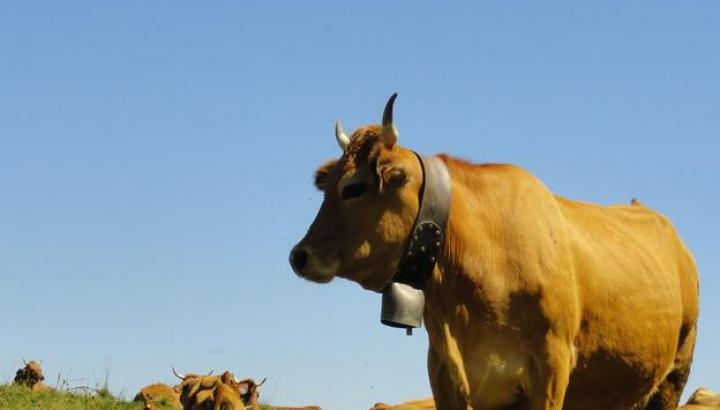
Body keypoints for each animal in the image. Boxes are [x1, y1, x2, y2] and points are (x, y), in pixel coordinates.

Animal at [289, 94, 699, 410]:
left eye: (354, 188)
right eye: (327, 186)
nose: (299, 255)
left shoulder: (552, 366)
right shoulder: (445, 374)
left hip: (674, 375)